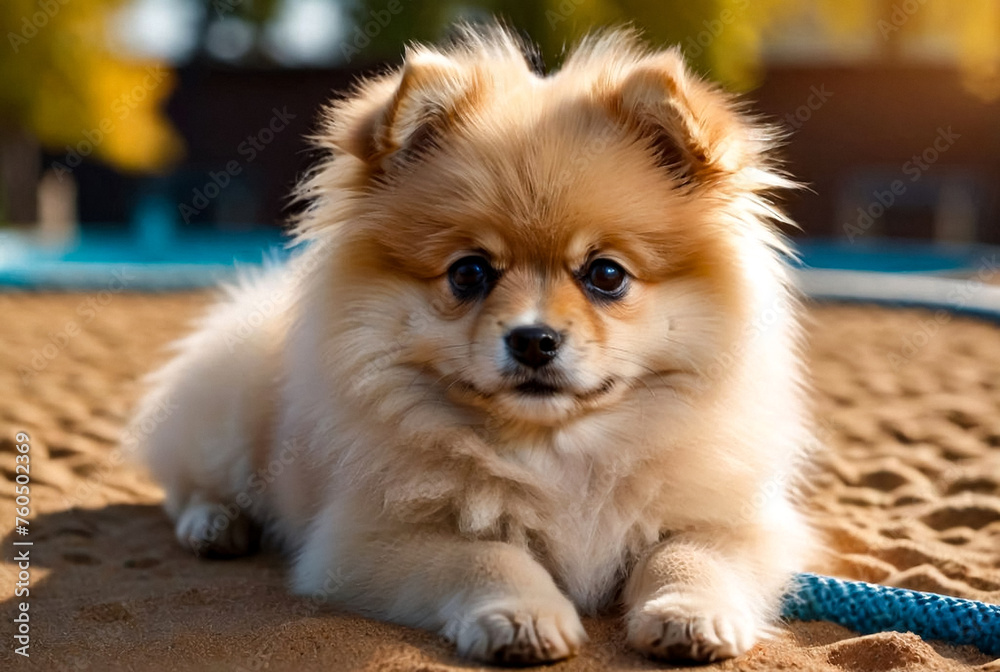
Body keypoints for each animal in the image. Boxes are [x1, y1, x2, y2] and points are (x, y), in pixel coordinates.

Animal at [133, 25, 816, 668]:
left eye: (606, 274)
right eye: (469, 273)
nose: (534, 339)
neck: (556, 454)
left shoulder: (738, 522)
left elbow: (688, 554)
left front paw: (688, 615)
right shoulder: (368, 538)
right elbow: (487, 556)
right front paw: (522, 617)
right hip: (226, 411)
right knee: (187, 483)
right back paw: (214, 523)